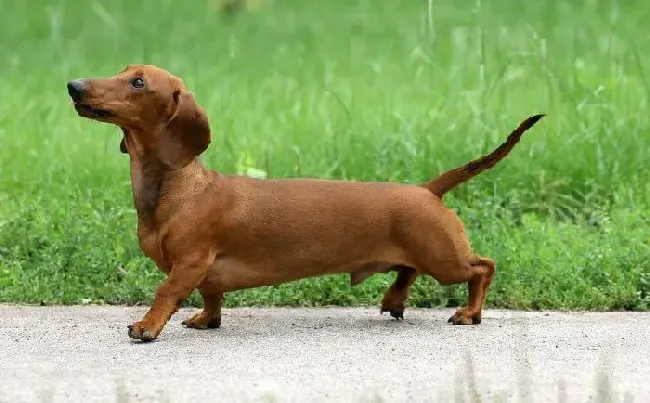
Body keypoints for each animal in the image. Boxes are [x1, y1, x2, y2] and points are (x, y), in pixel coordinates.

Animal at [67, 64, 540, 342]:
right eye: (123, 71)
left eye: (138, 82)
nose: (73, 85)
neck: (180, 187)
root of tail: (426, 188)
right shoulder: (204, 272)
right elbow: (210, 296)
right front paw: (206, 319)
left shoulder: (191, 260)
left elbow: (166, 291)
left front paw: (147, 326)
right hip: (427, 253)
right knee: (409, 270)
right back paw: (393, 300)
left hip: (445, 259)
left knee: (482, 267)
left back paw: (469, 312)